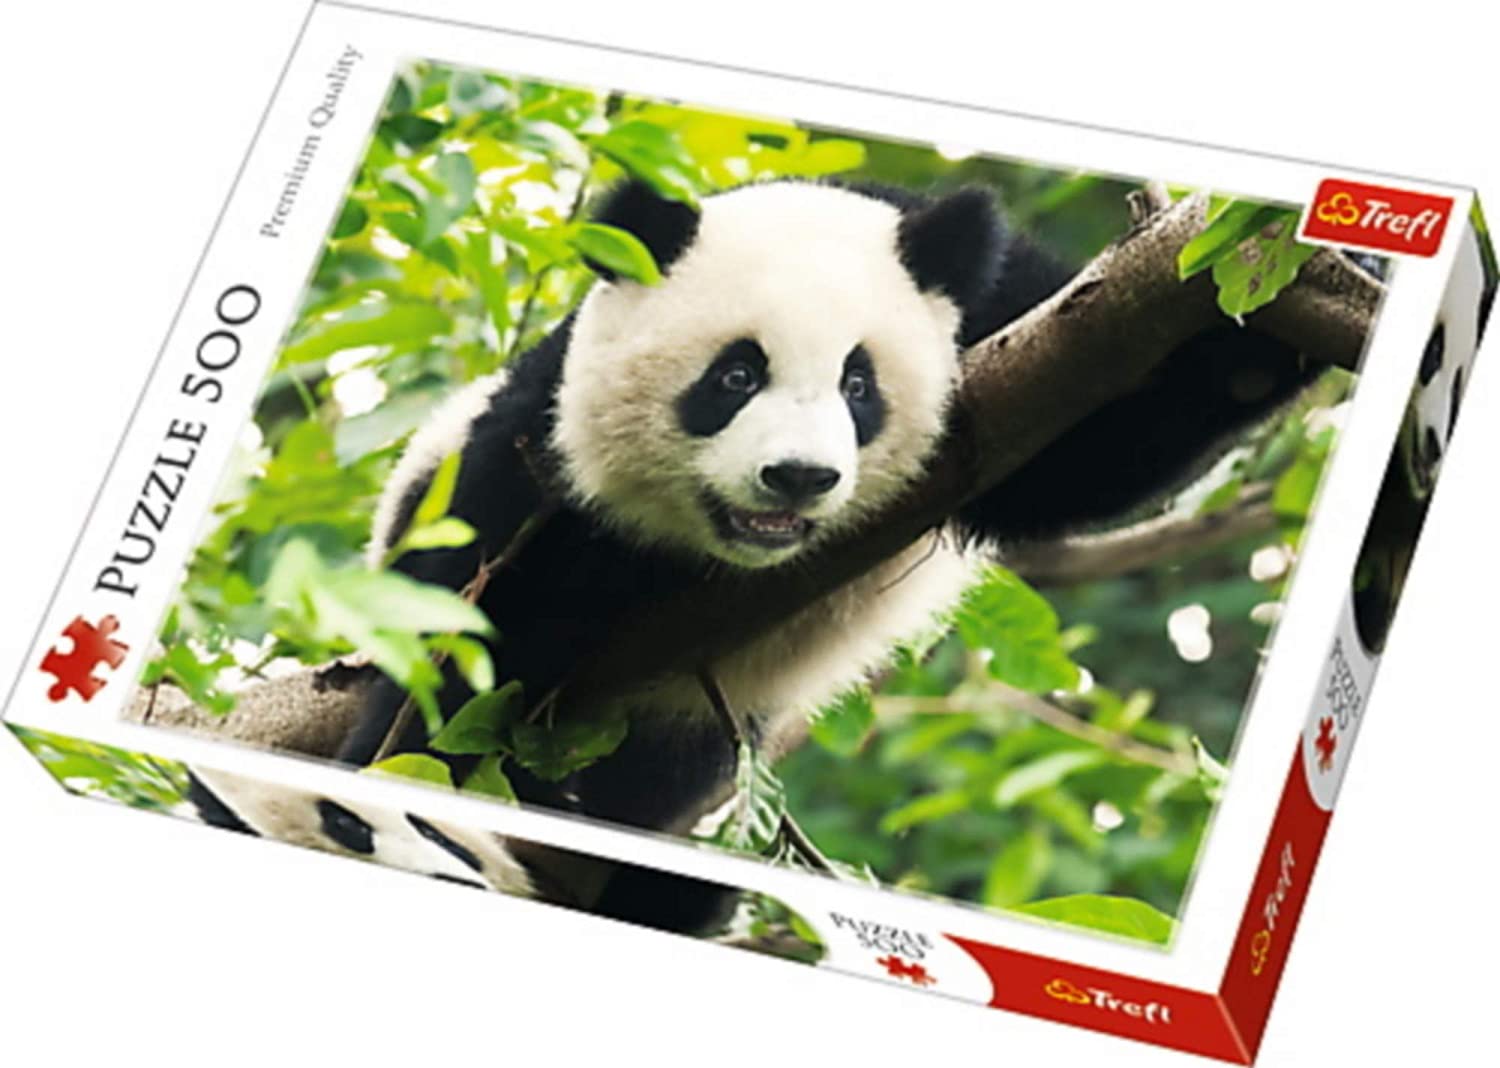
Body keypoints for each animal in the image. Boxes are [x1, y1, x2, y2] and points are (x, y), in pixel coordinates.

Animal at [340, 177, 1316, 932]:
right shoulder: (539, 451)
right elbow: (467, 630)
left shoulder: (1008, 326)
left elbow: (1092, 450)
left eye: (858, 383)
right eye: (735, 376)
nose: (797, 478)